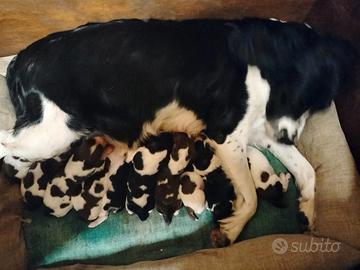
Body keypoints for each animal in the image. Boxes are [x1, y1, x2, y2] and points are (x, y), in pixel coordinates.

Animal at [0, 16, 354, 245]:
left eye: (319, 105)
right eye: (293, 96)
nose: (289, 137)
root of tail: (19, 60)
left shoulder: (262, 131)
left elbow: (307, 171)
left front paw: (307, 210)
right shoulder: (227, 136)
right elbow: (252, 197)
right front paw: (231, 229)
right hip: (50, 133)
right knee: (6, 143)